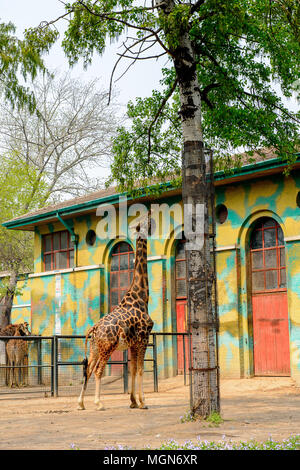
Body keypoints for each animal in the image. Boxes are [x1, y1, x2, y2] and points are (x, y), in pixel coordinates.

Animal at [78, 213, 152, 412]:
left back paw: (81, 404)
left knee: (88, 369)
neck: (141, 297)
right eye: (146, 221)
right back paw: (98, 403)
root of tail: (94, 329)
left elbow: (132, 369)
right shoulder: (144, 339)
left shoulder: (133, 344)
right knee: (98, 370)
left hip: (95, 348)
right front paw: (143, 403)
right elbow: (140, 369)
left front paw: (133, 402)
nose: (153, 218)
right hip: (107, 348)